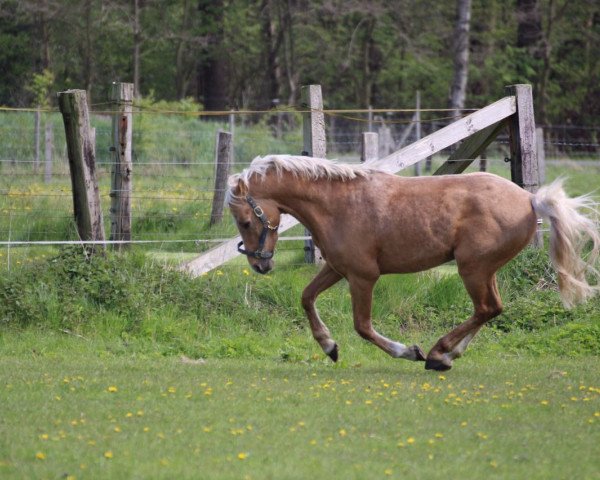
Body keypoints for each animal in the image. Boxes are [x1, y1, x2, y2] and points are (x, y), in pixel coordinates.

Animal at [226, 155, 600, 372]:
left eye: (244, 221)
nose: (260, 265)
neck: (339, 204)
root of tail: (530, 198)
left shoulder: (363, 276)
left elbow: (363, 326)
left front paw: (408, 351)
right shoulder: (336, 268)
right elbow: (306, 298)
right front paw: (329, 347)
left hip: (472, 269)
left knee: (486, 308)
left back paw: (437, 353)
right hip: (485, 270)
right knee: (491, 309)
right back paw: (447, 356)